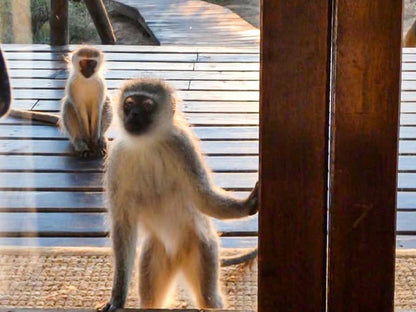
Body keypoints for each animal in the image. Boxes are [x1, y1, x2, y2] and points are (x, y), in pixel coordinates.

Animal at [100, 77, 256, 310]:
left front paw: (247, 205)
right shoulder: (118, 157)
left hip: (203, 248)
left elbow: (203, 196)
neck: (148, 144)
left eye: (147, 105)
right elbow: (123, 224)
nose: (133, 114)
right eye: (129, 104)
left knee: (209, 298)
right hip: (155, 254)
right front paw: (117, 297)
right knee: (151, 300)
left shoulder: (182, 145)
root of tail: (177, 258)